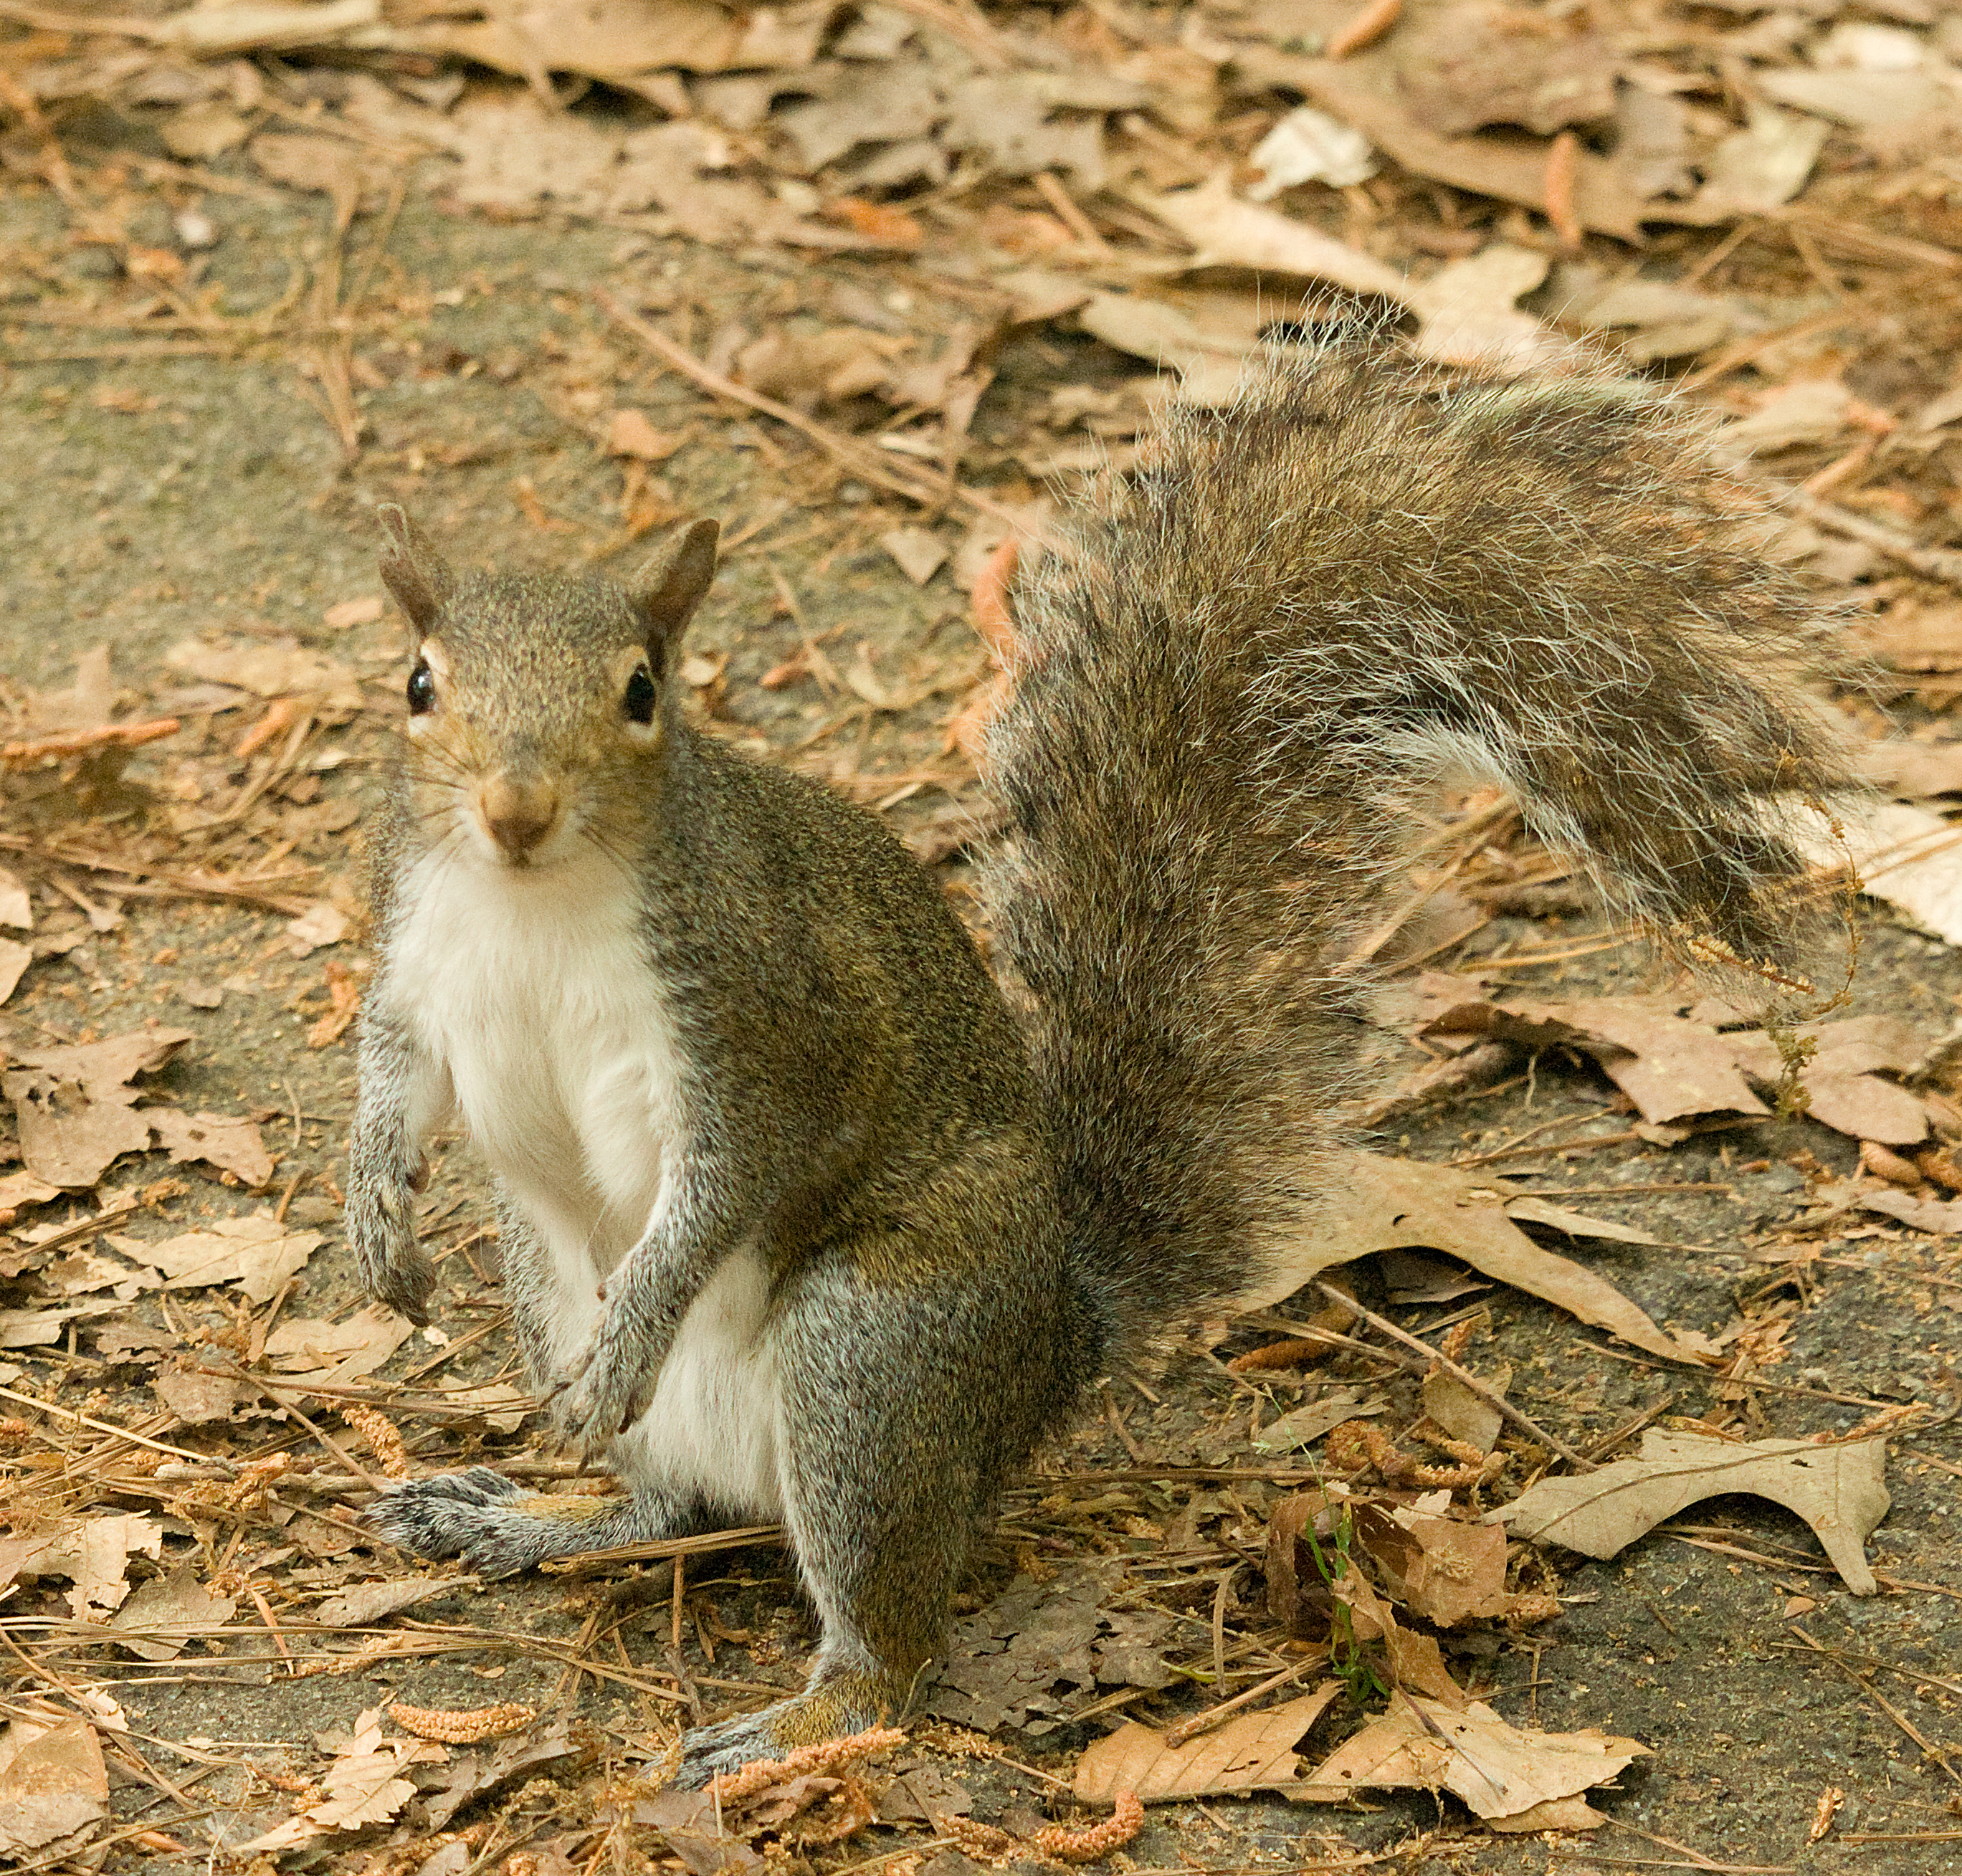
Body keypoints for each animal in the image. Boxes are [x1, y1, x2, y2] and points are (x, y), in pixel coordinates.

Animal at [349, 329, 1836, 1781]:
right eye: (419, 685)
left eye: (642, 692)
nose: (516, 808)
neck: (536, 903)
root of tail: (1050, 1351)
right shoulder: (418, 953)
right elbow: (392, 1074)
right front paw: (377, 1223)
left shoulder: (757, 1007)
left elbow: (732, 1173)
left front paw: (639, 1311)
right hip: (550, 1277)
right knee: (665, 1504)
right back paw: (528, 1517)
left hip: (872, 1353)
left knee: (882, 1634)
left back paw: (801, 1718)